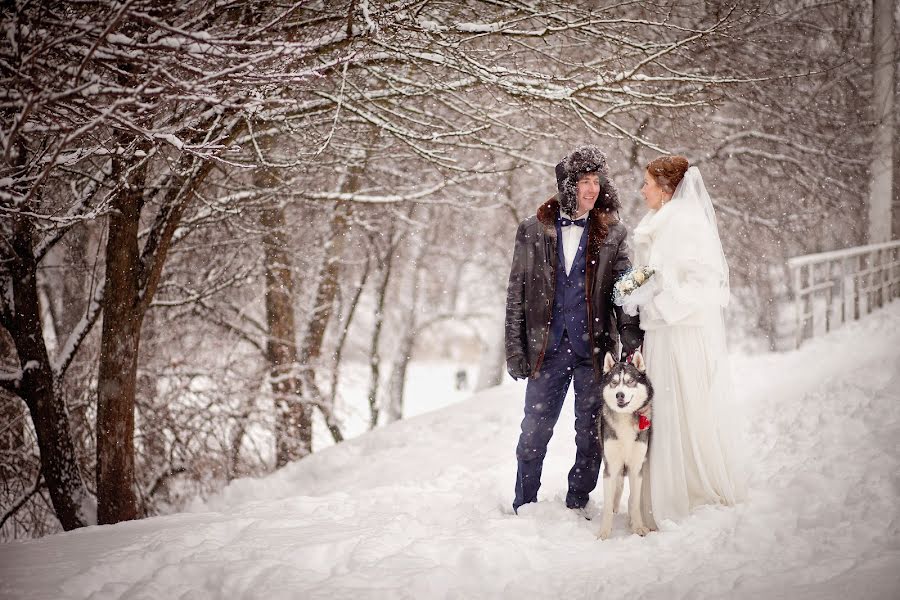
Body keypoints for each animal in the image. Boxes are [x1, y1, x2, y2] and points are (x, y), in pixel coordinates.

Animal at [596, 350, 652, 540]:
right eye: (614, 383)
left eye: (630, 381)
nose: (619, 395)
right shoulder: (611, 466)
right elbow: (607, 505)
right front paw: (604, 532)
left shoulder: (636, 467)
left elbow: (635, 501)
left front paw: (638, 527)